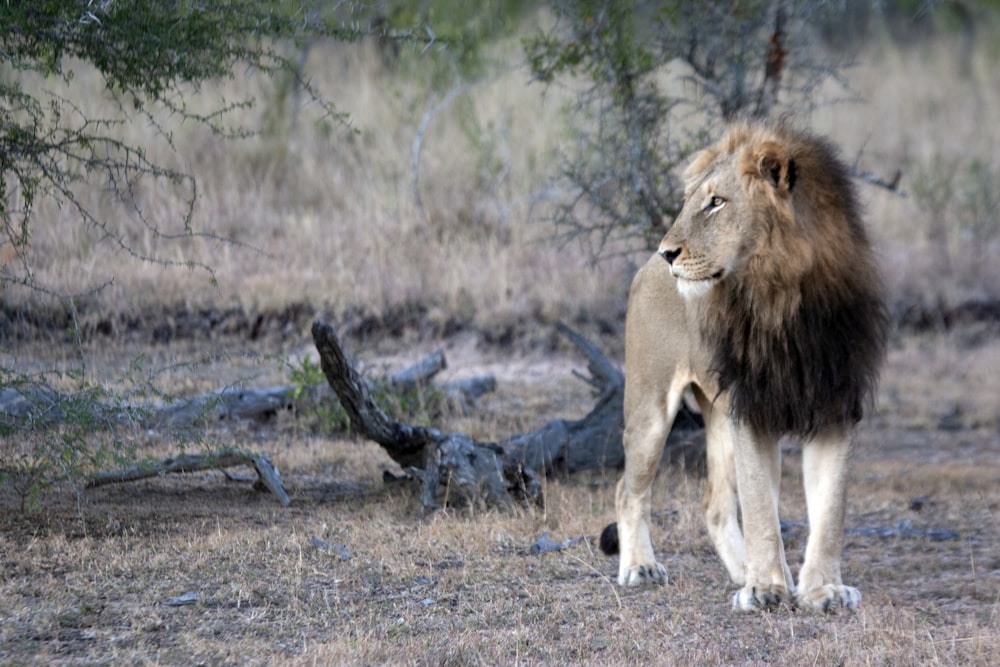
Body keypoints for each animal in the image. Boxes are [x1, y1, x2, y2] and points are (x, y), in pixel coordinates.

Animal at [600, 120, 892, 612]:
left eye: (717, 202)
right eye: (690, 201)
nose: (667, 252)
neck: (787, 296)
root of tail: (643, 268)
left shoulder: (837, 405)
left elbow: (829, 510)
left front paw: (822, 590)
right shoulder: (753, 408)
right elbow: (759, 508)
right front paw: (766, 589)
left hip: (721, 415)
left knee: (715, 505)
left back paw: (742, 571)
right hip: (651, 407)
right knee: (628, 489)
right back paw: (641, 567)